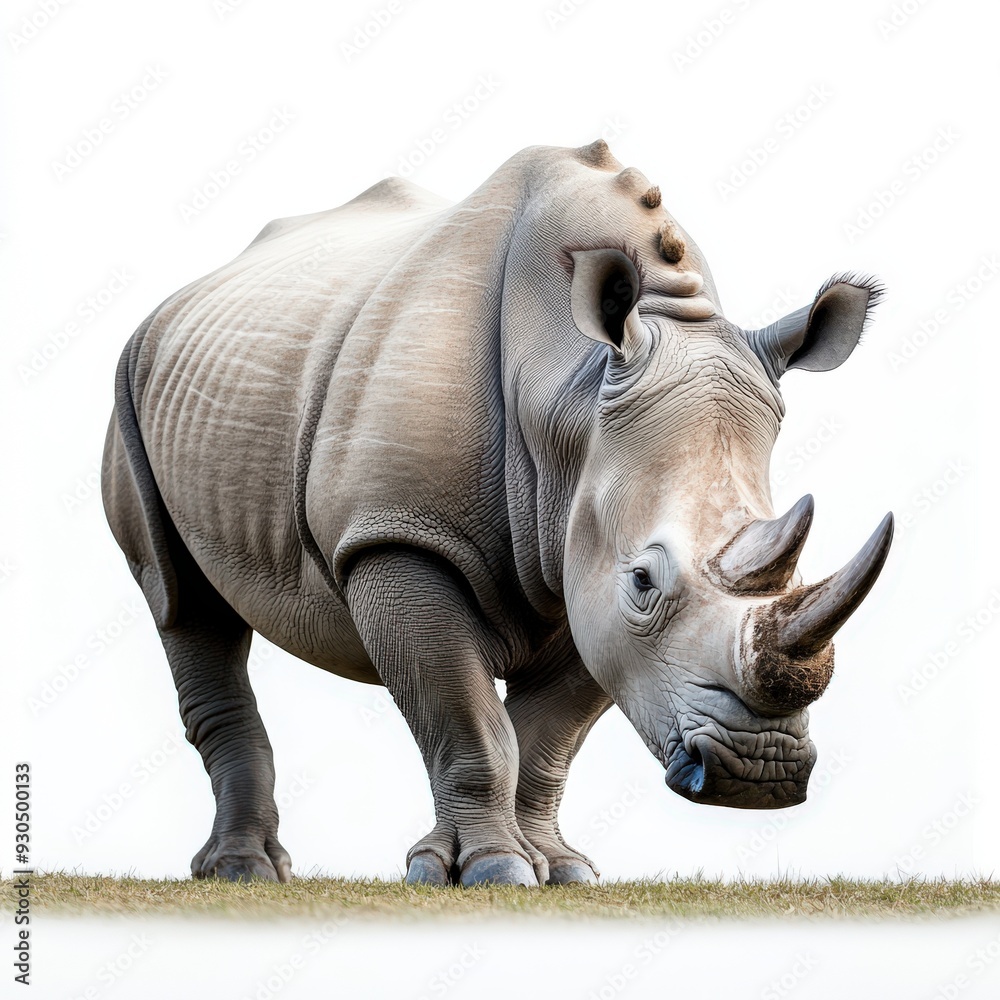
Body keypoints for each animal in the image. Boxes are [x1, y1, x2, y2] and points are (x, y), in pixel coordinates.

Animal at [102, 139, 892, 886]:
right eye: (644, 581)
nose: (760, 772)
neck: (569, 391)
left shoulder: (582, 564)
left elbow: (545, 740)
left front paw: (560, 870)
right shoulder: (398, 537)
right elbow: (469, 722)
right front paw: (487, 870)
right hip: (130, 381)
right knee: (180, 600)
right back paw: (245, 871)